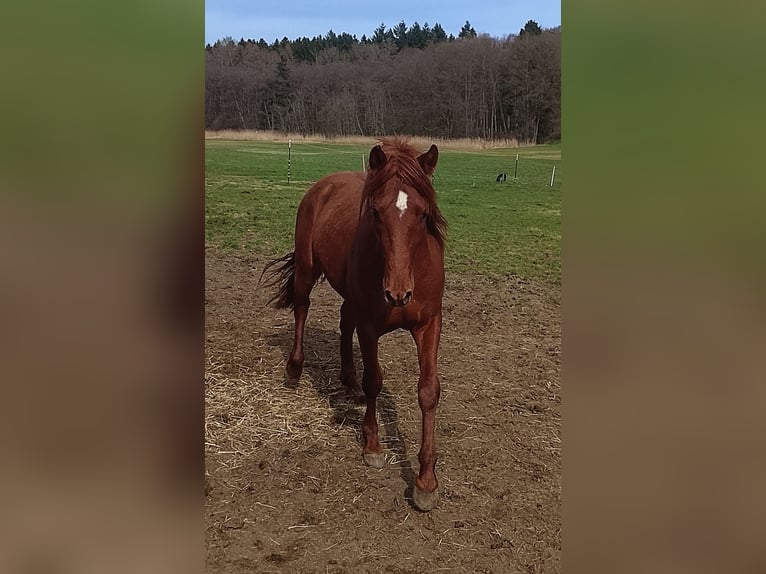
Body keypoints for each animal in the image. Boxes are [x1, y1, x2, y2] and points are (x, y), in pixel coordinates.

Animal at [261, 138, 447, 511]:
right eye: (375, 212)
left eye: (423, 214)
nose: (398, 294)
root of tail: (324, 185)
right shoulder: (370, 326)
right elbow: (374, 380)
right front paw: (372, 446)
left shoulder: (429, 324)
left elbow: (428, 392)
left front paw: (425, 482)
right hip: (306, 271)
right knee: (302, 309)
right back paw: (294, 369)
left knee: (344, 322)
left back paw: (347, 379)